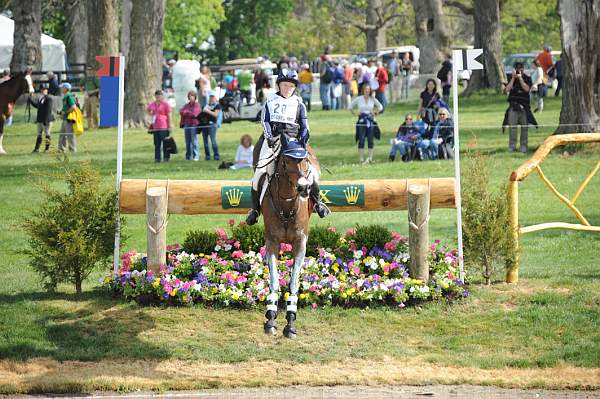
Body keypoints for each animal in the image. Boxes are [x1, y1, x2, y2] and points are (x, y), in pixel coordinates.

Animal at [262, 136, 318, 340]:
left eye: (304, 160)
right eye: (285, 162)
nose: (303, 187)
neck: (287, 204)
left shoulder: (300, 243)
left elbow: (293, 282)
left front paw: (291, 322)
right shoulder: (272, 242)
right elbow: (274, 281)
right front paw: (271, 319)